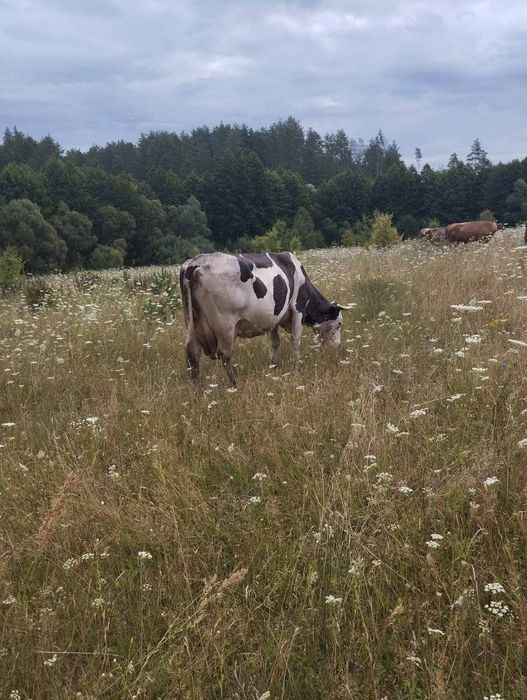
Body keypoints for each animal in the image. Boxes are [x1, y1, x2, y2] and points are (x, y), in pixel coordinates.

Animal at [179, 251, 347, 384]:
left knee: (192, 353)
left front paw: (274, 366)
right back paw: (234, 384)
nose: (338, 347)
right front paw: (296, 367)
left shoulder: (273, 318)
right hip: (224, 325)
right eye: (339, 323)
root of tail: (196, 263)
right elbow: (295, 342)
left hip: (191, 323)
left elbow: (275, 342)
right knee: (224, 354)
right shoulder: (298, 309)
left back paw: (197, 388)